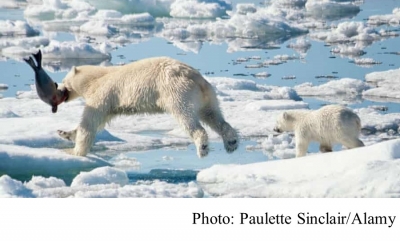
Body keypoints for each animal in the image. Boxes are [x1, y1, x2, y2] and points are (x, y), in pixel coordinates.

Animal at [54, 57, 239, 158]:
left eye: (63, 80)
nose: (58, 88)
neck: (96, 78)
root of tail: (195, 77)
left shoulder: (102, 95)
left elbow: (90, 122)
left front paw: (75, 152)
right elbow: (97, 122)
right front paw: (64, 133)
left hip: (177, 92)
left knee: (188, 118)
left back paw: (202, 147)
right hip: (207, 95)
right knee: (213, 115)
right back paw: (231, 142)